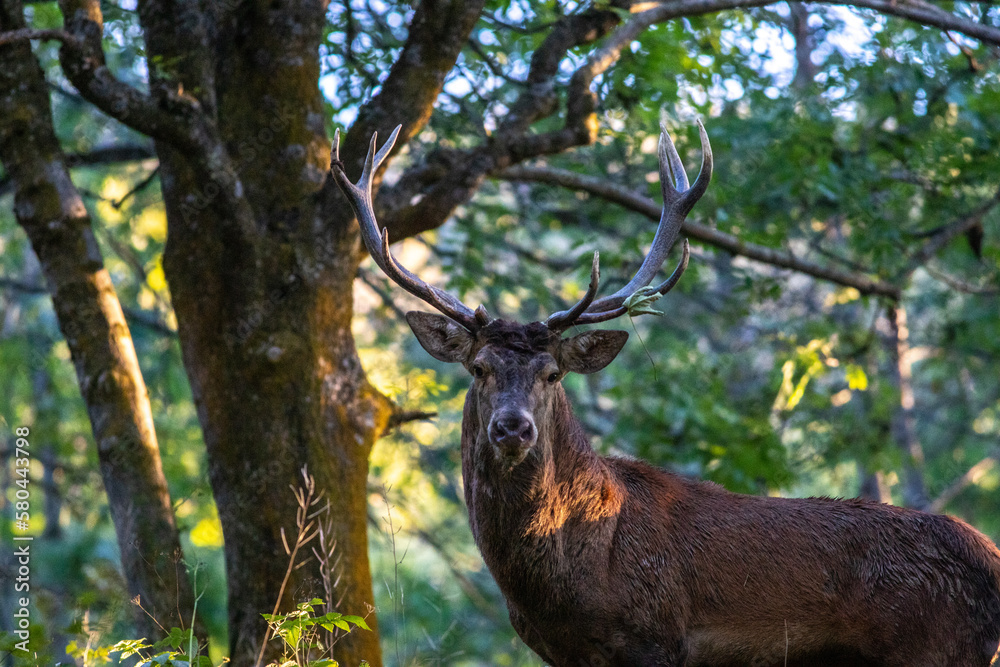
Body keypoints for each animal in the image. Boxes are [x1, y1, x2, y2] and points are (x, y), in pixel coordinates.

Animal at [330, 123, 1000, 667]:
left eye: (553, 373)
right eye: (478, 368)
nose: (513, 428)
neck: (570, 579)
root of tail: (991, 563)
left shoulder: (656, 637)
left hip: (933, 649)